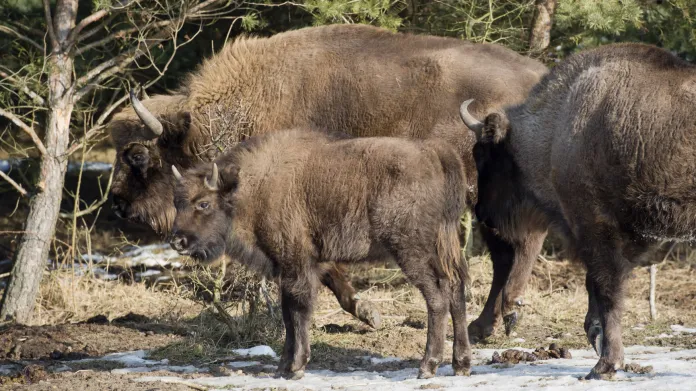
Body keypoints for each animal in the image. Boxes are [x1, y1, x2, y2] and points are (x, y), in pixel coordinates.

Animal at [106, 23, 548, 336]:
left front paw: (368, 312)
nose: (119, 204)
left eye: (138, 156)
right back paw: (486, 325)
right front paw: (368, 312)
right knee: (505, 255)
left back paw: (506, 313)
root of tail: (539, 76)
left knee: (524, 243)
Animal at [169, 130, 474, 382]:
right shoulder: (287, 268)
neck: (252, 187)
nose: (177, 241)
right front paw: (282, 367)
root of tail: (433, 153)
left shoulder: (297, 264)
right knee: (455, 290)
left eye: (203, 203)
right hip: (443, 249)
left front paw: (296, 366)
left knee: (437, 298)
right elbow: (287, 314)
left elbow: (298, 311)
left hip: (411, 252)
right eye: (177, 203)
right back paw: (461, 364)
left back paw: (427, 366)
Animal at [460, 43, 696, 380]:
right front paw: (597, 340)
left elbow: (608, 292)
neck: (557, 125)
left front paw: (605, 364)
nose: (483, 213)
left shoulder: (596, 226)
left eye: (484, 153)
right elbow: (596, 286)